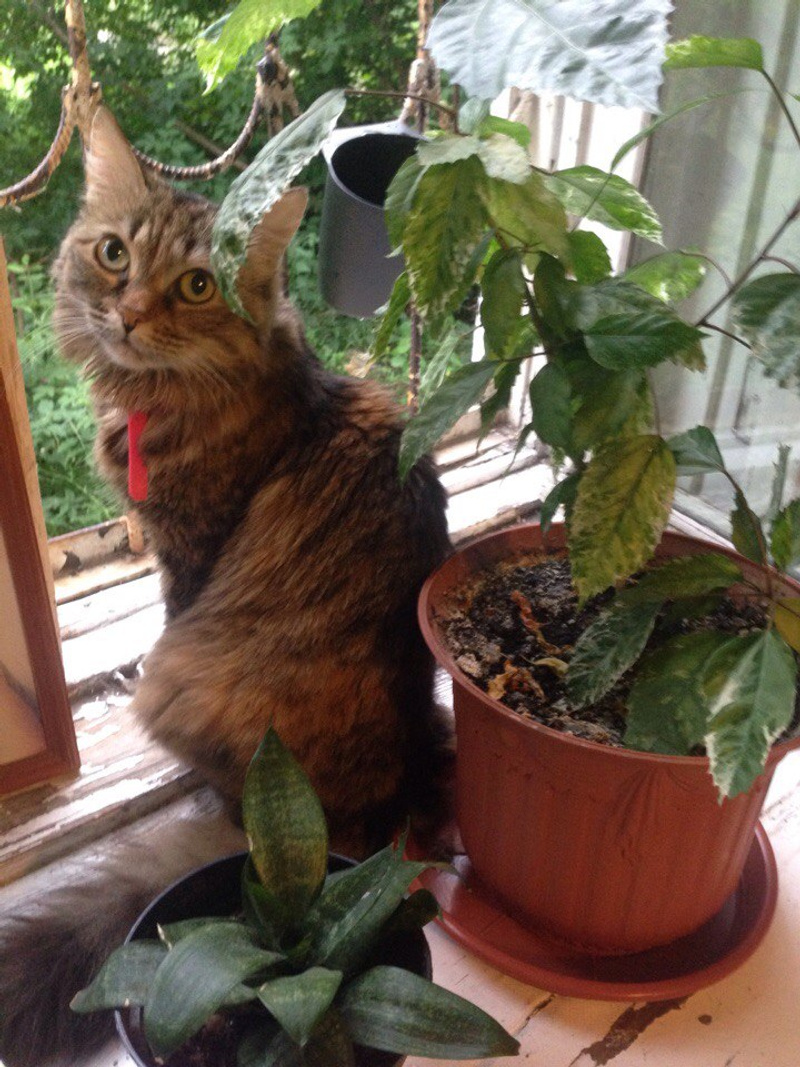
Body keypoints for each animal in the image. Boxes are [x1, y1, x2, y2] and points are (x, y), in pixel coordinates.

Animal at [0, 107, 452, 1067]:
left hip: (185, 674)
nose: (129, 313)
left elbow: (172, 600)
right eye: (114, 256)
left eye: (197, 284)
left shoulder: (187, 552)